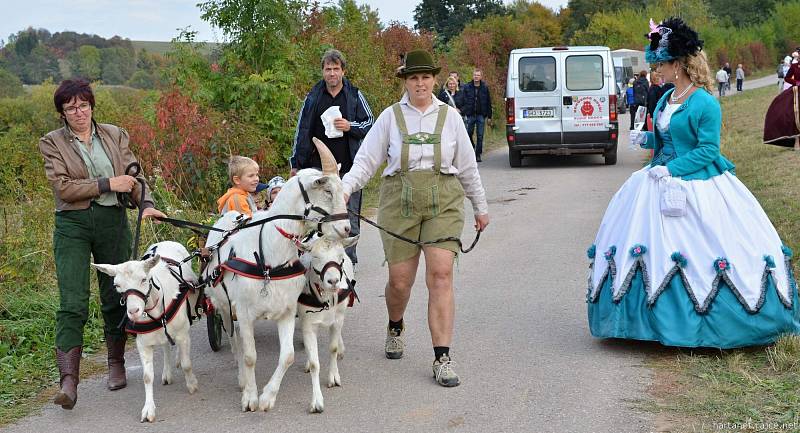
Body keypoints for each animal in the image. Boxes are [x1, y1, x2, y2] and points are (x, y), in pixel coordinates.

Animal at [92, 240, 198, 422]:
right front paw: (148, 410)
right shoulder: (143, 344)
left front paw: (192, 385)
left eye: (143, 279)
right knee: (165, 346)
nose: (133, 311)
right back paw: (167, 374)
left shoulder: (182, 334)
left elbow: (187, 363)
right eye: (117, 285)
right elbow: (147, 377)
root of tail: (165, 242)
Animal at [202, 139, 348, 412]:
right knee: (234, 341)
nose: (346, 228)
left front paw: (268, 397)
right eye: (327, 191)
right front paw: (250, 397)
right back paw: (241, 378)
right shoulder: (244, 312)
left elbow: (288, 356)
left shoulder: (286, 311)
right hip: (223, 306)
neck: (269, 255)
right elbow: (250, 356)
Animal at [296, 233, 360, 412]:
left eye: (340, 257)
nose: (333, 281)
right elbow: (314, 363)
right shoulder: (308, 323)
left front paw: (333, 377)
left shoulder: (337, 319)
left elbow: (332, 348)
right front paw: (317, 401)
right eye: (316, 257)